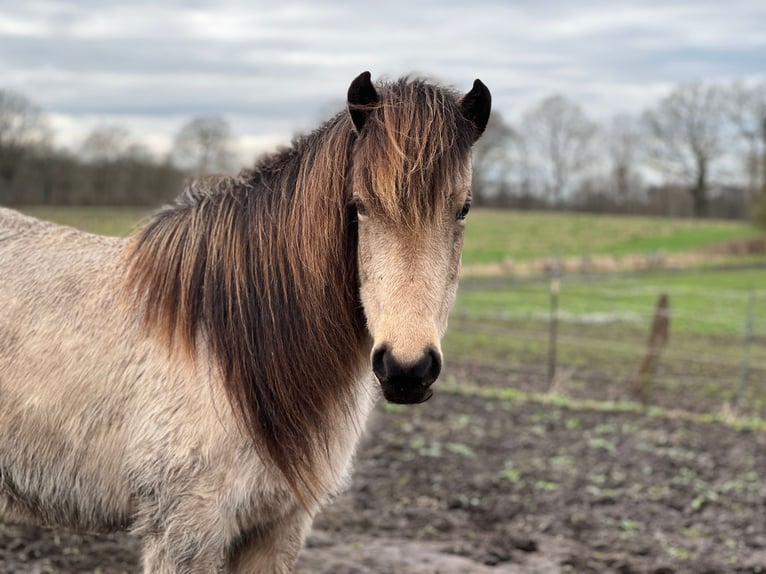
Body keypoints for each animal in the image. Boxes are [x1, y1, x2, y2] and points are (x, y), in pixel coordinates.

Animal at [0, 71, 492, 572]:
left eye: (464, 208)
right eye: (359, 205)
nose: (407, 370)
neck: (225, 346)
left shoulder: (278, 527)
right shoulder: (185, 530)